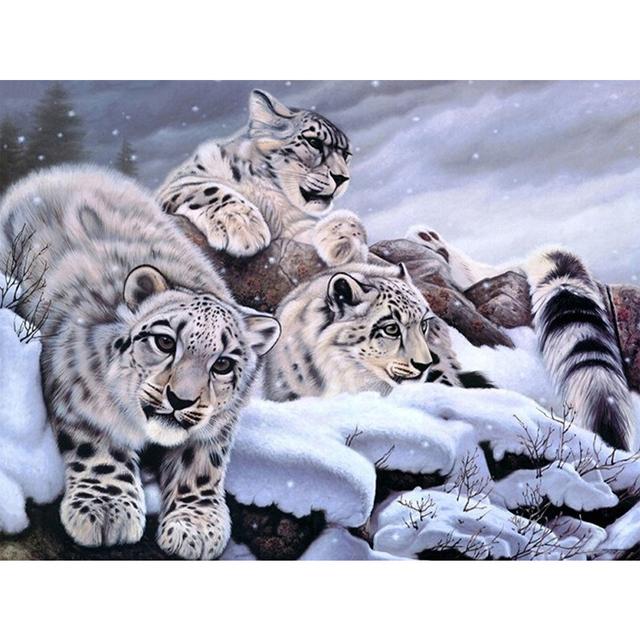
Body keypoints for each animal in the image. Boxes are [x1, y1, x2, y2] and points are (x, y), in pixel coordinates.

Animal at [0, 166, 281, 559]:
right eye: (164, 342)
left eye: (223, 364)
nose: (180, 399)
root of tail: (53, 175)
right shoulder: (72, 378)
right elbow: (97, 440)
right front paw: (107, 508)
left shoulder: (217, 424)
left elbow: (203, 460)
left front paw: (196, 526)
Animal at [156, 89, 368, 267]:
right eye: (314, 141)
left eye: (346, 154)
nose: (342, 178)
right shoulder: (178, 183)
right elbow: (209, 188)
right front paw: (242, 225)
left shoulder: (293, 229)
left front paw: (345, 241)